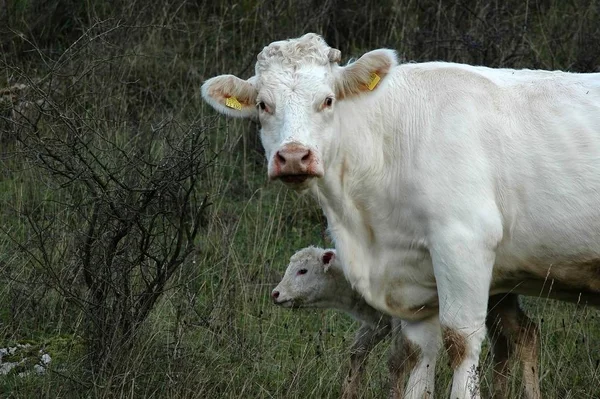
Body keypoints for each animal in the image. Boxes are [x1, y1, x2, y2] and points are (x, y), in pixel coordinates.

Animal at [203, 32, 600, 398]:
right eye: (263, 105)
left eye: (328, 100)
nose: (294, 156)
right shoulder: (415, 282)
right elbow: (417, 355)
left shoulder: (464, 245)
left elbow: (460, 342)